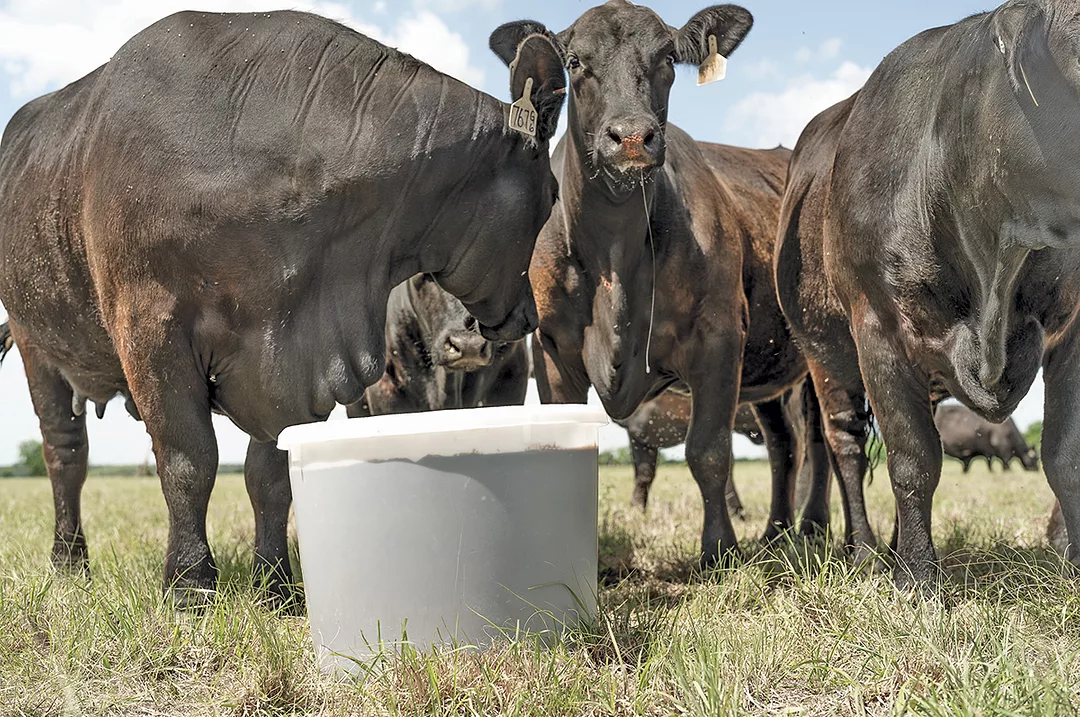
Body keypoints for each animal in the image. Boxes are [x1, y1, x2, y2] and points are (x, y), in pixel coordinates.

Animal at [490, 1, 830, 567]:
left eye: (668, 57)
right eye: (575, 61)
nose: (631, 135)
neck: (614, 259)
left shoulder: (719, 336)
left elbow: (708, 451)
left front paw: (718, 551)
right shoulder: (554, 349)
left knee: (821, 443)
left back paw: (816, 530)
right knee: (787, 446)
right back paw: (777, 534)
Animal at [775, 0, 1080, 589]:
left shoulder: (1073, 326)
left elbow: (1064, 454)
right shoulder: (878, 331)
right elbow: (912, 460)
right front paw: (917, 579)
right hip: (825, 357)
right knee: (845, 448)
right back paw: (866, 552)